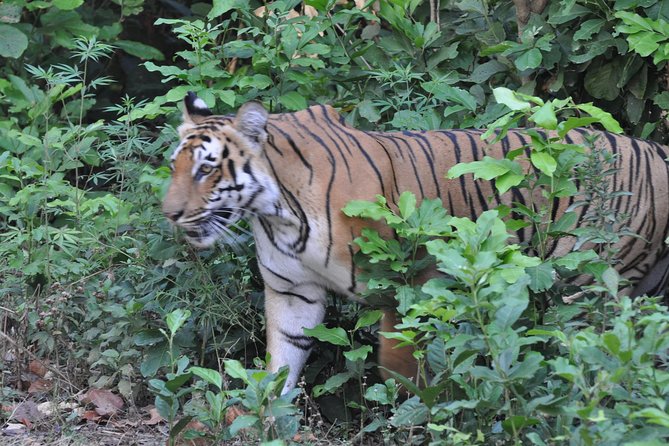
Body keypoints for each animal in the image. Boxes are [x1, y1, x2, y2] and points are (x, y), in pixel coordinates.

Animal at [162, 90, 668, 394]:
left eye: (206, 168)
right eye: (175, 165)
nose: (170, 214)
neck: (278, 213)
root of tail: (653, 149)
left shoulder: (412, 283)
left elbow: (401, 367)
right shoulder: (292, 293)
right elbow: (282, 364)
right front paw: (270, 421)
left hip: (589, 283)